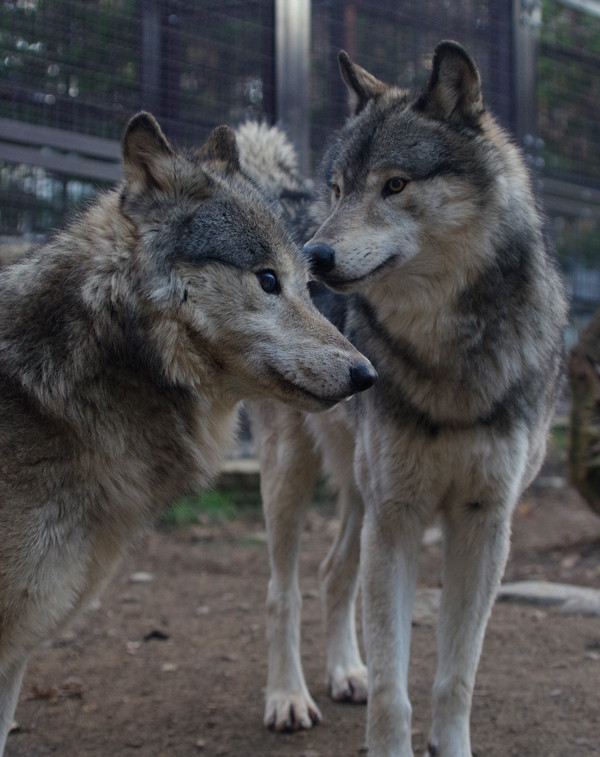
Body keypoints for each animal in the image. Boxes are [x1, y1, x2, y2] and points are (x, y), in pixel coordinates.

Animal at [243, 42, 568, 756]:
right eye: (340, 189)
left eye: (395, 186)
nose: (312, 260)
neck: (448, 356)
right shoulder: (399, 516)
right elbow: (396, 687)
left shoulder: (483, 523)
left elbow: (455, 676)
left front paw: (452, 744)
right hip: (293, 477)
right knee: (283, 590)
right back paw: (287, 697)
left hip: (360, 495)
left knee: (334, 572)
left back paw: (345, 672)